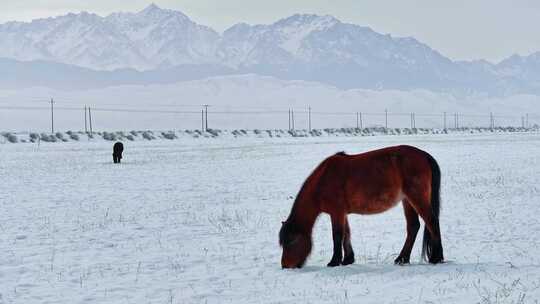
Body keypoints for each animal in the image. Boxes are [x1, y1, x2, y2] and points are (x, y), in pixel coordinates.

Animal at [278, 145, 442, 268]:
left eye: (291, 241)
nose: (285, 265)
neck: (324, 179)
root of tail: (424, 155)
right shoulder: (342, 213)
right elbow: (346, 234)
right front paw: (347, 259)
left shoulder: (336, 212)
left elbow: (337, 235)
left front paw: (334, 261)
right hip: (407, 201)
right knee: (413, 226)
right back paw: (402, 259)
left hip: (417, 198)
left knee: (432, 222)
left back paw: (436, 258)